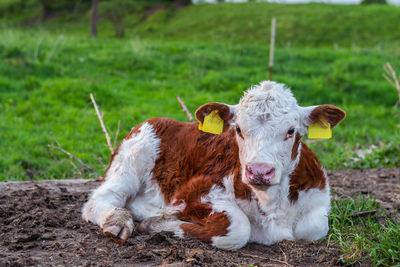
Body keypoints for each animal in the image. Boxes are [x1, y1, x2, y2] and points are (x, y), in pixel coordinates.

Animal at [81, 81, 344, 251]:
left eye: (291, 131)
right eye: (238, 129)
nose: (259, 171)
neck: (271, 206)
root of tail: (161, 120)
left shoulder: (318, 199)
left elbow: (314, 227)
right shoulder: (194, 193)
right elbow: (238, 228)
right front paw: (159, 223)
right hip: (130, 160)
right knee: (100, 199)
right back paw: (118, 222)